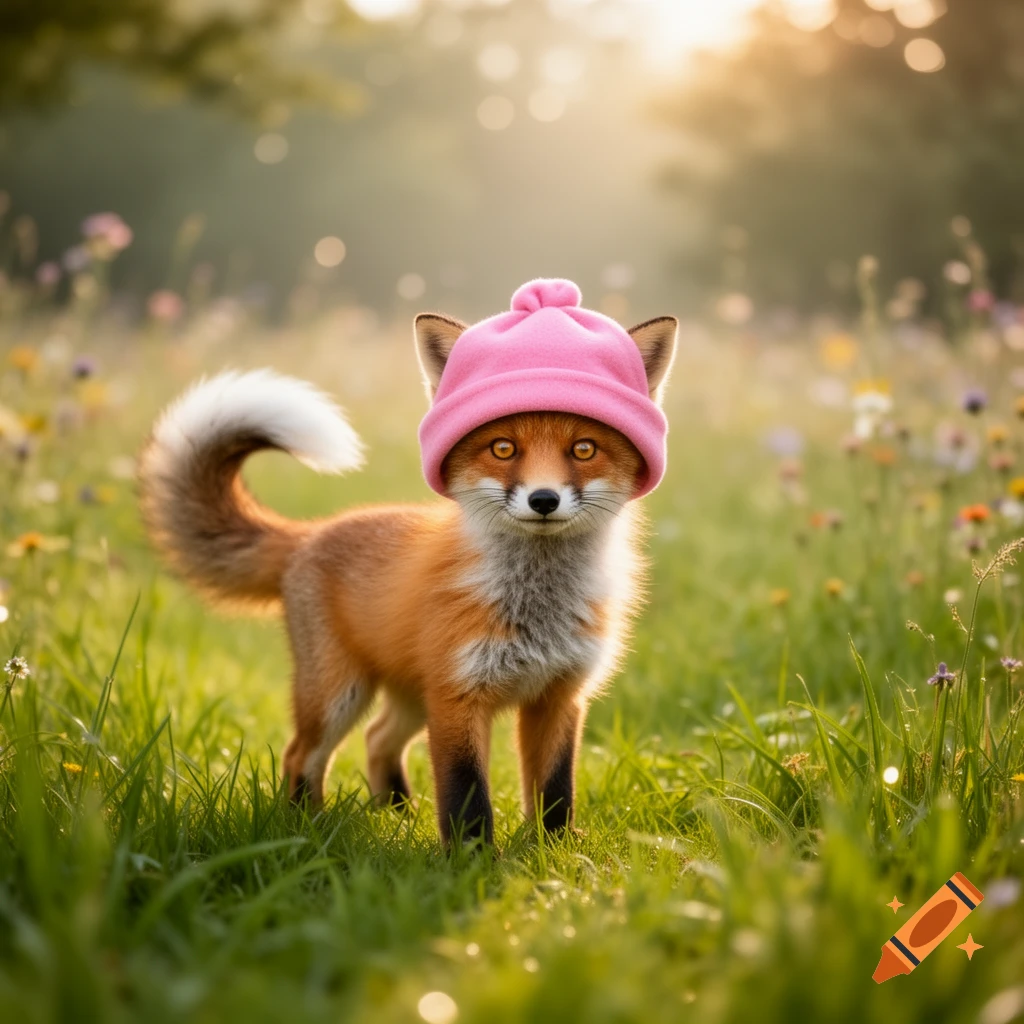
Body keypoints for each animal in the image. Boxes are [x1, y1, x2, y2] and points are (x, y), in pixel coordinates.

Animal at [138, 282, 676, 846]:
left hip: (412, 697)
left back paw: (396, 814)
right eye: (503, 448)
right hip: (340, 695)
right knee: (299, 754)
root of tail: (312, 532)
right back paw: (307, 827)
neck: (536, 607)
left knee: (377, 739)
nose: (544, 499)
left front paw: (555, 852)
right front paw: (471, 859)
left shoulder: (559, 697)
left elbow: (554, 793)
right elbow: (466, 796)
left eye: (584, 449)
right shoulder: (458, 697)